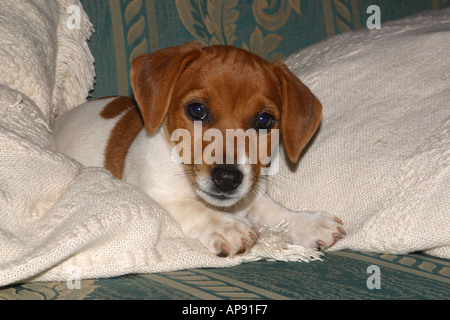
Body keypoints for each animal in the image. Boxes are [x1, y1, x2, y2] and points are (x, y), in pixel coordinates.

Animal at [53, 42, 348, 258]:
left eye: (264, 120)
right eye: (197, 110)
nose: (227, 178)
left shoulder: (251, 191)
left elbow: (268, 206)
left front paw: (304, 222)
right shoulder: (150, 192)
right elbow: (189, 206)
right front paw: (225, 226)